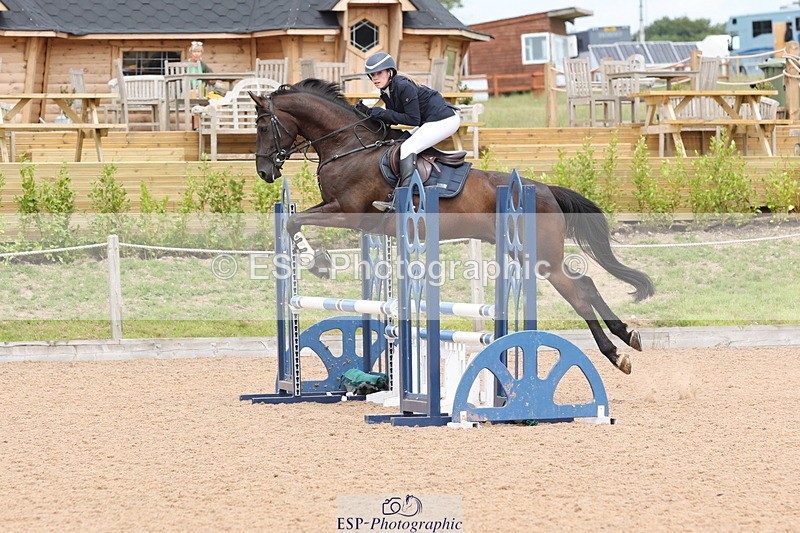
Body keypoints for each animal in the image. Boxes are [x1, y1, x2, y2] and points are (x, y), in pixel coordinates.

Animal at [249, 79, 654, 374]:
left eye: (261, 125)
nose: (265, 172)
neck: (348, 145)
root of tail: (545, 189)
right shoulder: (338, 209)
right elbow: (293, 220)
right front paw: (316, 260)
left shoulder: (348, 211)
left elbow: (295, 220)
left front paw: (316, 262)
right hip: (525, 252)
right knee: (586, 283)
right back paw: (626, 337)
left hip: (540, 257)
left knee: (579, 292)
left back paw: (615, 354)